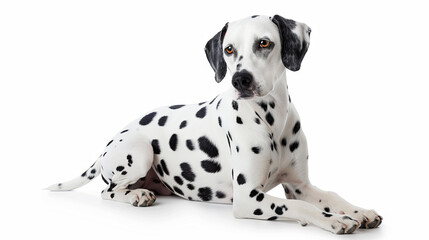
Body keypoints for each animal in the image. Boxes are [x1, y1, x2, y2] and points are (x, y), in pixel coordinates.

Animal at [48, 14, 382, 233]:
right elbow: (304, 207)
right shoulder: (249, 199)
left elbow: (331, 196)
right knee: (108, 191)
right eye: (229, 49)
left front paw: (359, 211)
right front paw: (335, 219)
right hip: (139, 152)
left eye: (264, 43)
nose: (240, 79)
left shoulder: (299, 185)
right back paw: (136, 195)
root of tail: (106, 148)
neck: (271, 119)